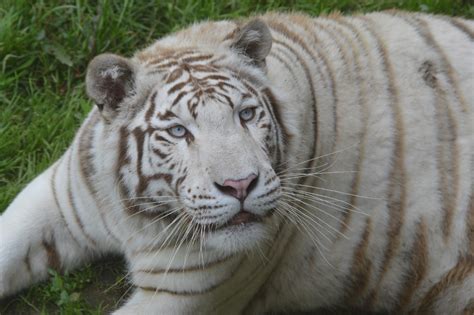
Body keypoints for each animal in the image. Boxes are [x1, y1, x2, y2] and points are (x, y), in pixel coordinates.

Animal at [0, 10, 474, 315]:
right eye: (179, 132)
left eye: (245, 115)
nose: (240, 185)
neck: (133, 212)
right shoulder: (57, 199)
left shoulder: (180, 293)